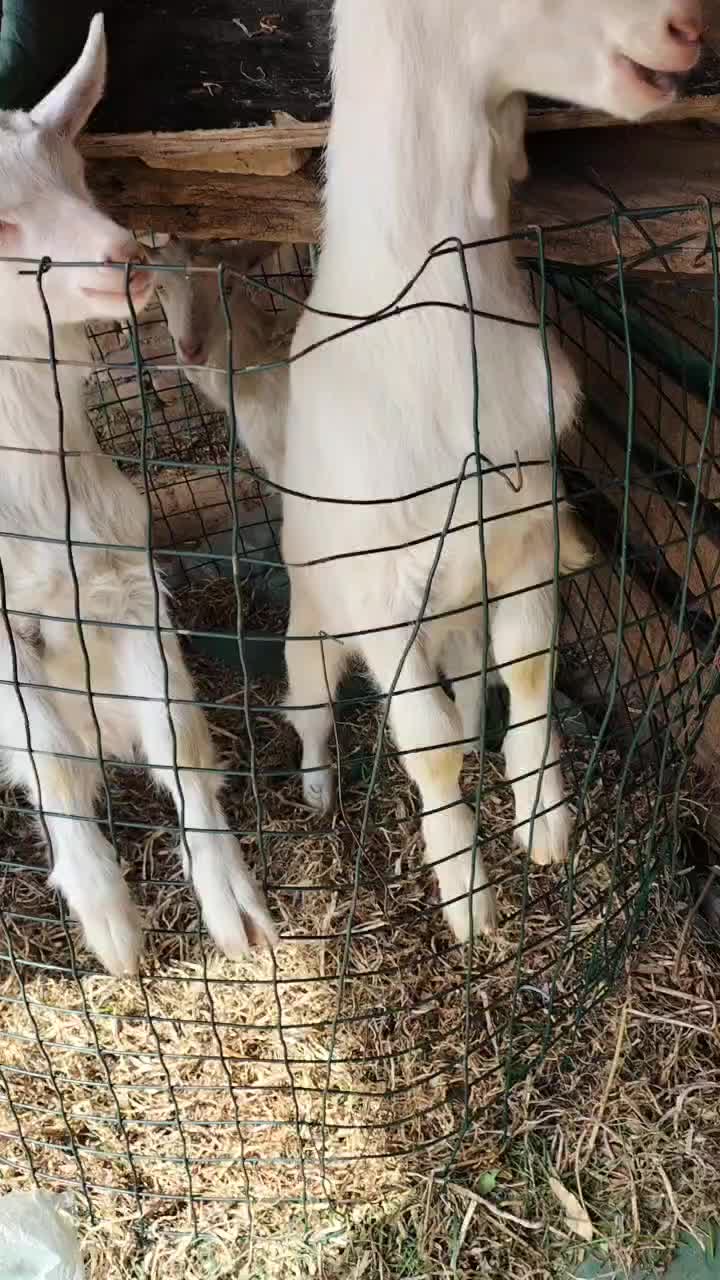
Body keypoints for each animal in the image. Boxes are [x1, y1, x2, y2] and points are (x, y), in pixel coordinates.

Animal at [0, 10, 275, 972]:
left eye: (78, 176)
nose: (125, 257)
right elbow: (49, 763)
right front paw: (110, 922)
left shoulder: (123, 576)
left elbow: (182, 739)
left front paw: (236, 908)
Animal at [280, 0, 702, 942]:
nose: (689, 24)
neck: (433, 321)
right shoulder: (384, 605)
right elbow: (427, 748)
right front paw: (468, 898)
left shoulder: (522, 542)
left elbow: (531, 670)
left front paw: (546, 822)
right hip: (313, 628)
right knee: (311, 709)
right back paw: (317, 792)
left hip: (460, 612)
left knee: (473, 680)